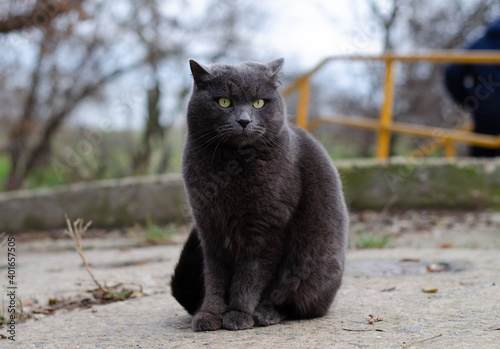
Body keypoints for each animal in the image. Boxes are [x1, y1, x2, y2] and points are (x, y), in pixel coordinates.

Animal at [169, 58, 348, 330]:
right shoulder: (209, 230)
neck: (231, 166)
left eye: (259, 103)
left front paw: (238, 314)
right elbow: (214, 278)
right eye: (224, 101)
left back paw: (266, 313)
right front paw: (209, 314)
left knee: (295, 303)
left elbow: (250, 276)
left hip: (311, 261)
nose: (244, 120)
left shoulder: (266, 228)